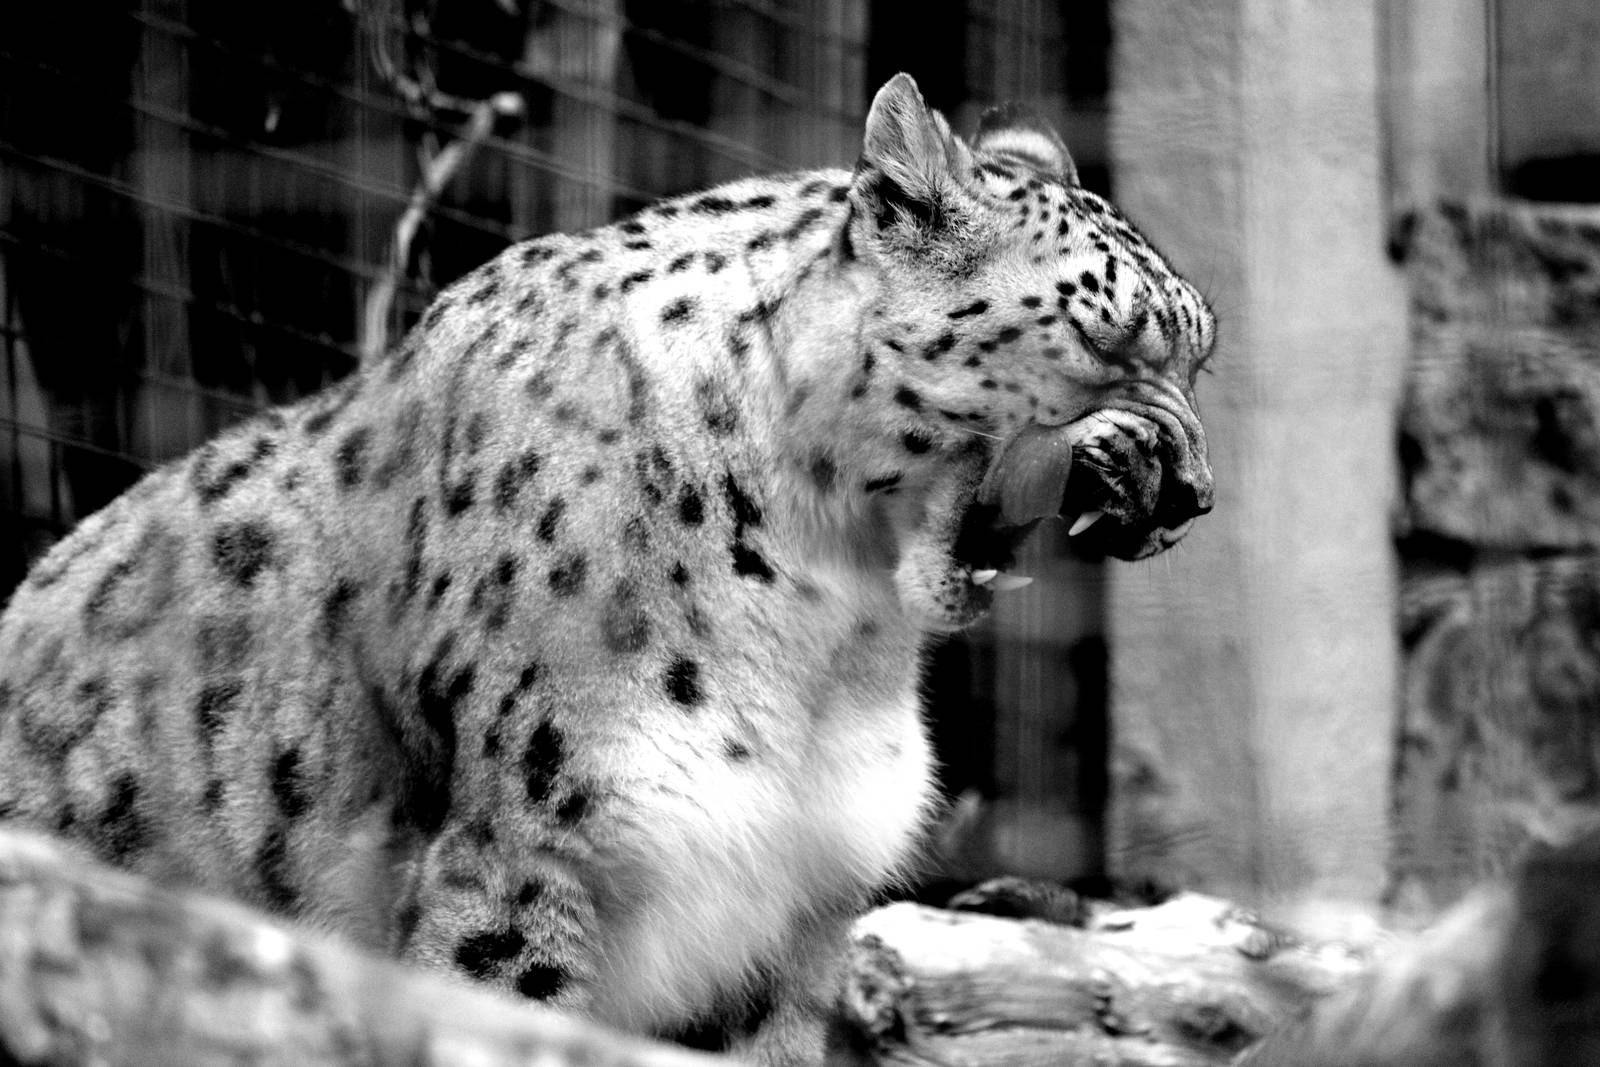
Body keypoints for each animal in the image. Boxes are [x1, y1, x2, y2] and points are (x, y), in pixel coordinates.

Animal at [0, 74, 1214, 1065]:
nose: (1190, 494)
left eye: (1198, 354)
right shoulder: (522, 858)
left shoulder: (783, 921)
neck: (834, 631)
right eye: (1106, 336)